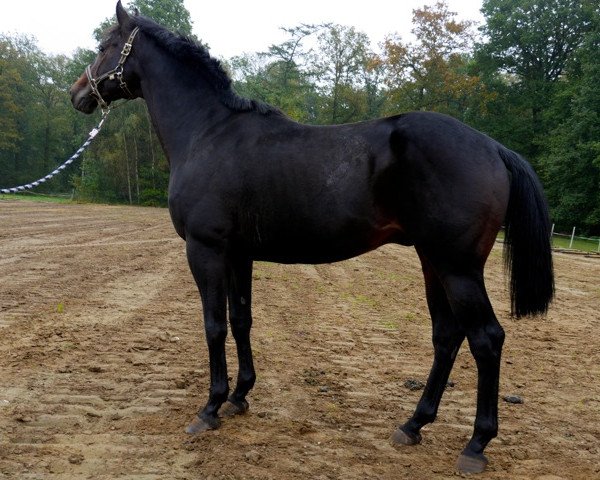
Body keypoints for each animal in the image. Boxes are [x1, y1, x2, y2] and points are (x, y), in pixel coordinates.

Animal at [70, 0, 552, 472]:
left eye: (103, 46)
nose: (77, 94)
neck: (208, 133)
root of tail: (492, 146)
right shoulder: (239, 254)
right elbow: (241, 319)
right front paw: (240, 396)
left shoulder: (206, 250)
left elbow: (213, 325)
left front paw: (210, 408)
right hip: (432, 262)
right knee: (447, 335)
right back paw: (413, 424)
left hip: (457, 268)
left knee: (486, 339)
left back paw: (476, 444)